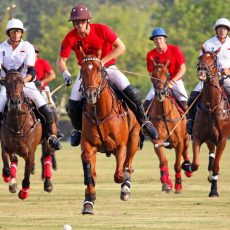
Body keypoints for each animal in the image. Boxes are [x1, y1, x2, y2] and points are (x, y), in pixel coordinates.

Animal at [0, 65, 54, 199]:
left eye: (21, 81)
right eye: (6, 82)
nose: (15, 102)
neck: (17, 125)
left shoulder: (30, 152)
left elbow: (26, 174)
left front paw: (24, 192)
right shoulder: (6, 147)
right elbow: (7, 168)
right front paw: (10, 181)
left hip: (47, 141)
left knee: (47, 155)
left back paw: (48, 183)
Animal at [79, 49, 140, 215]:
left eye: (100, 70)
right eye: (82, 70)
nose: (91, 95)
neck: (100, 114)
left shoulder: (121, 145)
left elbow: (119, 174)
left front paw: (125, 184)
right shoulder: (89, 144)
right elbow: (90, 172)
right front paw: (89, 201)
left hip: (134, 138)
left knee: (128, 164)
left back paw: (126, 188)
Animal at [147, 60, 192, 193]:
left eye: (167, 74)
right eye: (153, 75)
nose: (160, 93)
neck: (164, 114)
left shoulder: (179, 142)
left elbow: (177, 164)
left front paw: (178, 185)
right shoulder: (157, 141)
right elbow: (163, 161)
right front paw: (166, 183)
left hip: (186, 138)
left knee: (185, 153)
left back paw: (188, 170)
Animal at [187, 47, 230, 197]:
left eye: (214, 59)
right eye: (200, 57)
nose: (202, 69)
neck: (212, 106)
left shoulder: (222, 140)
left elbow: (216, 166)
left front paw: (214, 191)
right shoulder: (197, 137)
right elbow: (195, 164)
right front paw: (186, 166)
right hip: (209, 139)